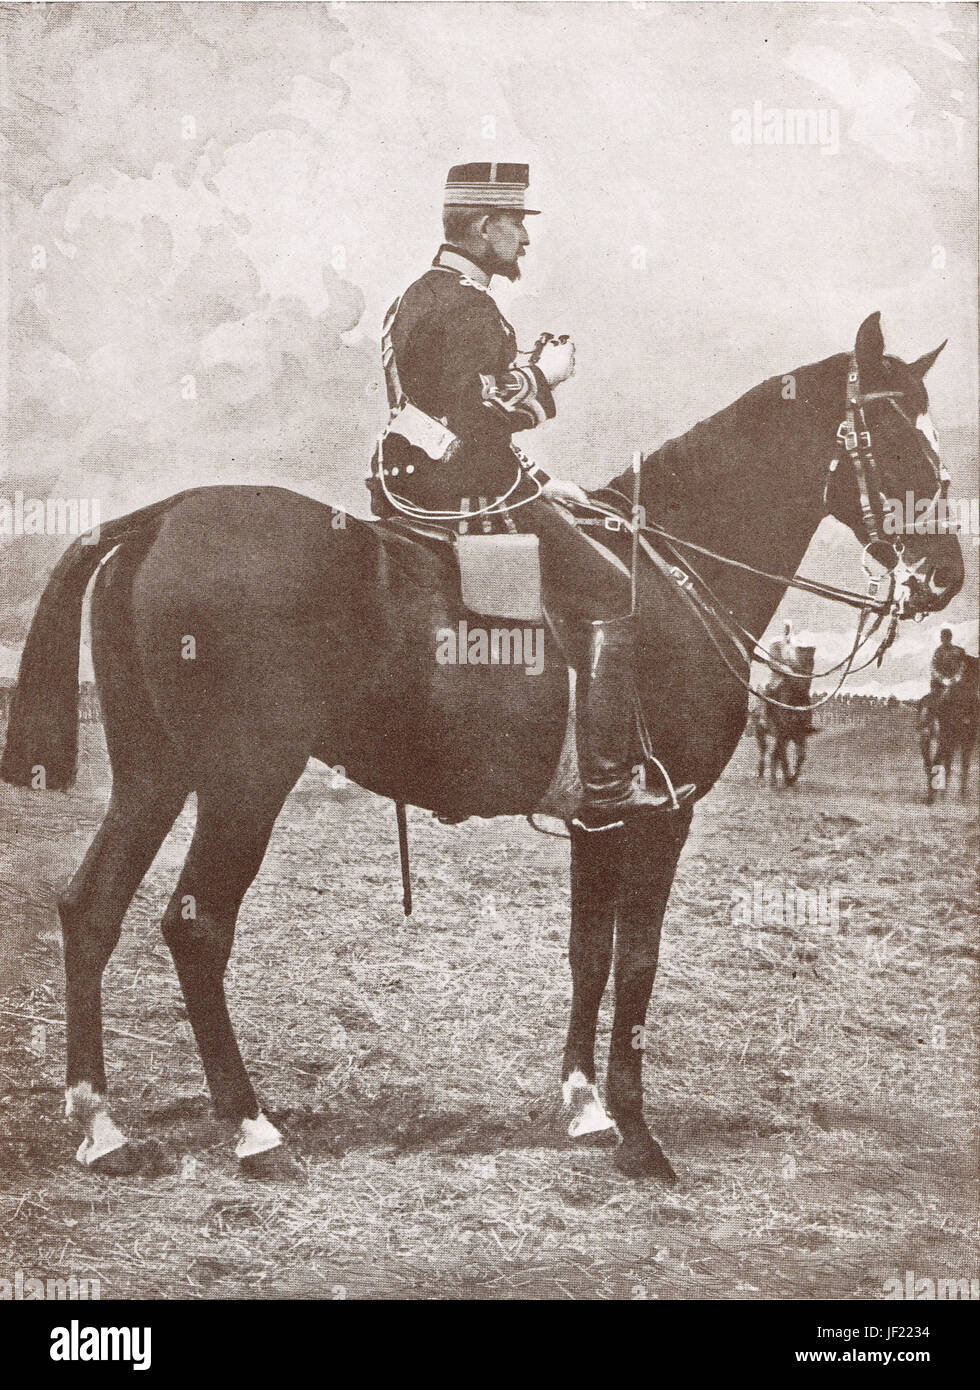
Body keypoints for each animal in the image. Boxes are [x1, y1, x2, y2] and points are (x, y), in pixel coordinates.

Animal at [0, 309, 961, 1178]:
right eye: (893, 435)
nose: (946, 576)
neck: (673, 577)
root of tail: (161, 518)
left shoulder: (601, 821)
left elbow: (589, 951)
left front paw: (584, 1108)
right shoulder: (664, 816)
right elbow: (639, 963)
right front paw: (640, 1140)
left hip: (155, 777)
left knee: (91, 909)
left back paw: (103, 1129)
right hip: (246, 782)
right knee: (195, 927)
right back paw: (253, 1128)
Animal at [917, 658, 978, 806]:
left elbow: (952, 766)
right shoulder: (964, 742)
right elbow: (961, 766)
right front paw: (959, 797)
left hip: (927, 740)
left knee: (929, 765)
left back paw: (931, 797)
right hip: (939, 741)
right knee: (934, 765)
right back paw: (932, 798)